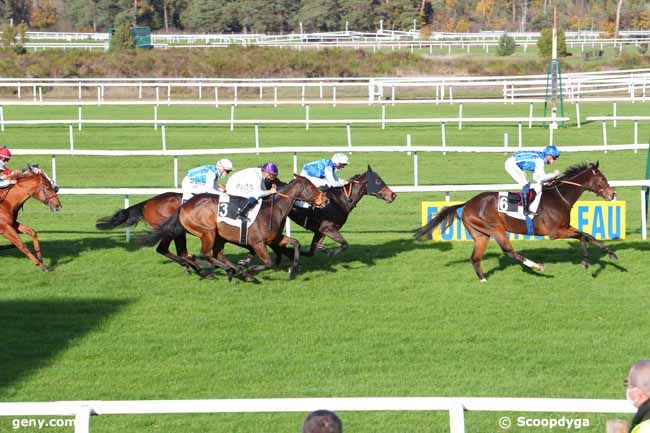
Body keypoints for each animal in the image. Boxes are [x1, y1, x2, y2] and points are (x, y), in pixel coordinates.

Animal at [139, 176, 326, 280]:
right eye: (311, 187)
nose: (324, 199)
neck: (273, 210)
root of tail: (184, 206)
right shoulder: (258, 242)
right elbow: (268, 262)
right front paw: (249, 267)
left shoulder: (274, 239)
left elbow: (295, 243)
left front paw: (293, 267)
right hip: (207, 232)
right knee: (203, 254)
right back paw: (220, 270)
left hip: (216, 236)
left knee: (215, 254)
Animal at [416, 161, 616, 280]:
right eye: (602, 179)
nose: (612, 194)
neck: (559, 197)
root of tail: (467, 204)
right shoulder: (555, 232)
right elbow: (583, 235)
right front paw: (589, 261)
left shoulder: (565, 226)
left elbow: (587, 235)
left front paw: (607, 255)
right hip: (495, 228)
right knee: (508, 251)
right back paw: (537, 266)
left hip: (481, 234)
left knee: (475, 257)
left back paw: (483, 279)